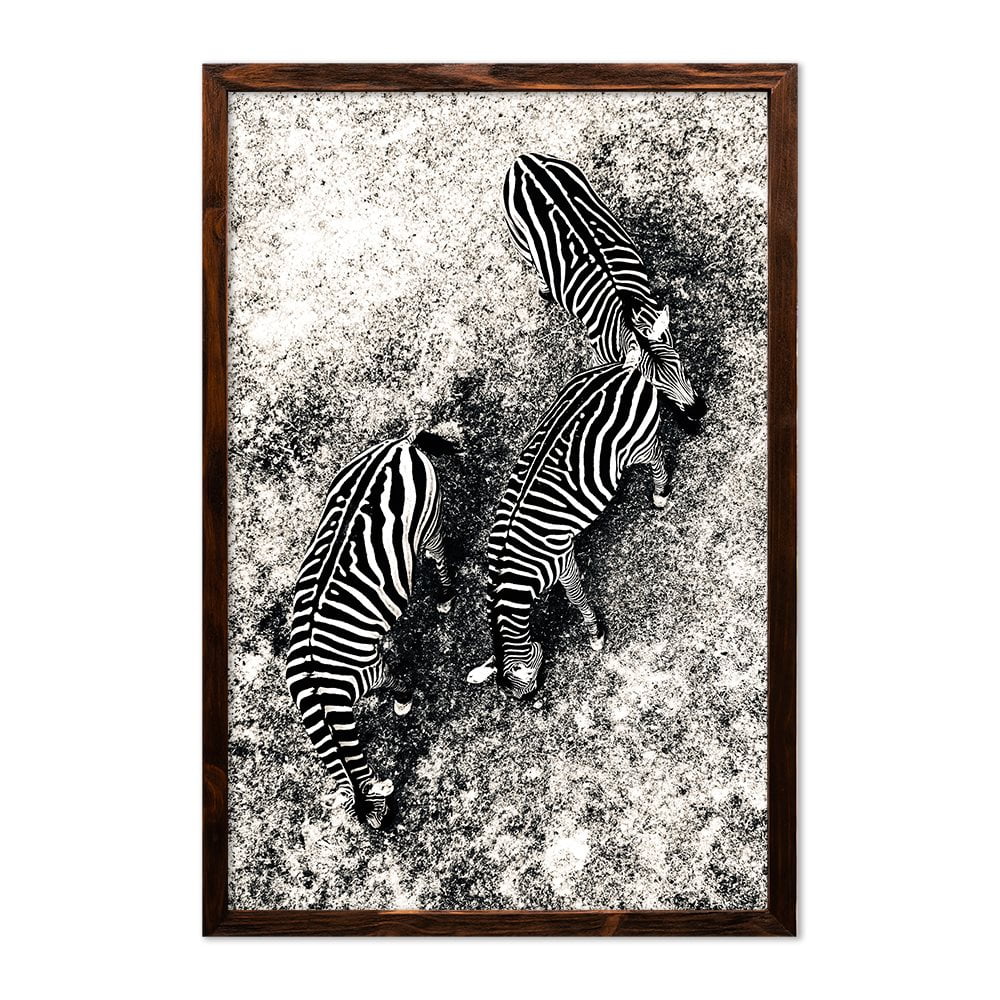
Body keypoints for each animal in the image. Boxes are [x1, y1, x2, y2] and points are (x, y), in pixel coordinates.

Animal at [285, 429, 458, 829]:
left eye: (383, 816)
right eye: (374, 823)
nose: (389, 832)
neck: (321, 694)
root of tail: (400, 445)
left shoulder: (370, 668)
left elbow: (393, 680)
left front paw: (403, 701)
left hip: (428, 520)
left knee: (439, 554)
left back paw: (445, 596)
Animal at [467, 355, 702, 698]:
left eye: (527, 689)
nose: (536, 701)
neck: (514, 573)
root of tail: (626, 367)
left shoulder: (563, 559)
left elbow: (576, 598)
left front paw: (596, 634)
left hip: (639, 444)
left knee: (657, 457)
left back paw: (660, 494)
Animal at [502, 152, 706, 432]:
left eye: (682, 365)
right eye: (655, 387)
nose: (699, 411)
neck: (627, 317)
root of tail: (524, 160)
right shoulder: (603, 357)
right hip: (521, 241)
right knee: (535, 266)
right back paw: (545, 290)